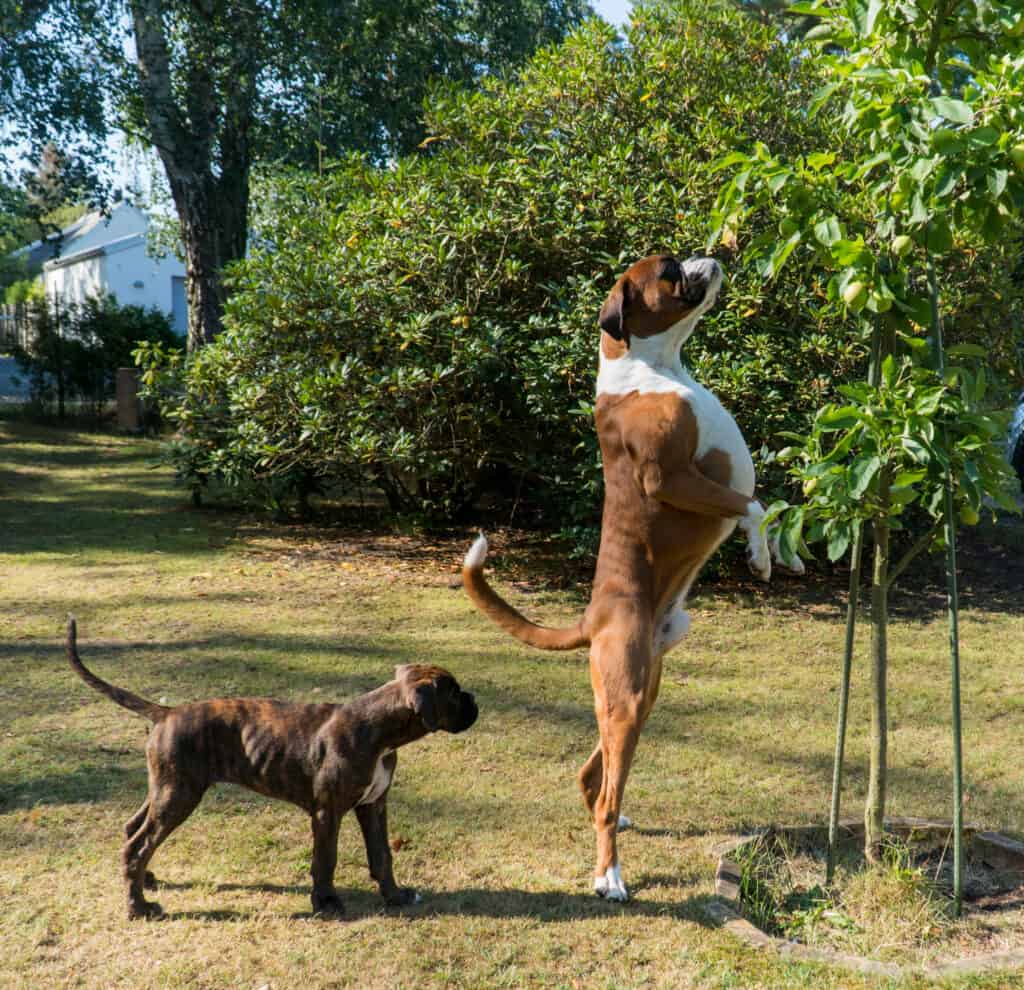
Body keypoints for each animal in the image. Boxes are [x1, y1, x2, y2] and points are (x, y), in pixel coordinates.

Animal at [464, 251, 798, 900]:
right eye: (668, 270)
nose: (707, 254)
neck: (655, 365)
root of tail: (594, 617)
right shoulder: (671, 478)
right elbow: (752, 505)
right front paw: (761, 556)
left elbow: (774, 506)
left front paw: (784, 554)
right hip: (626, 697)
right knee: (604, 795)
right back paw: (609, 876)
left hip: (640, 695)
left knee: (594, 776)